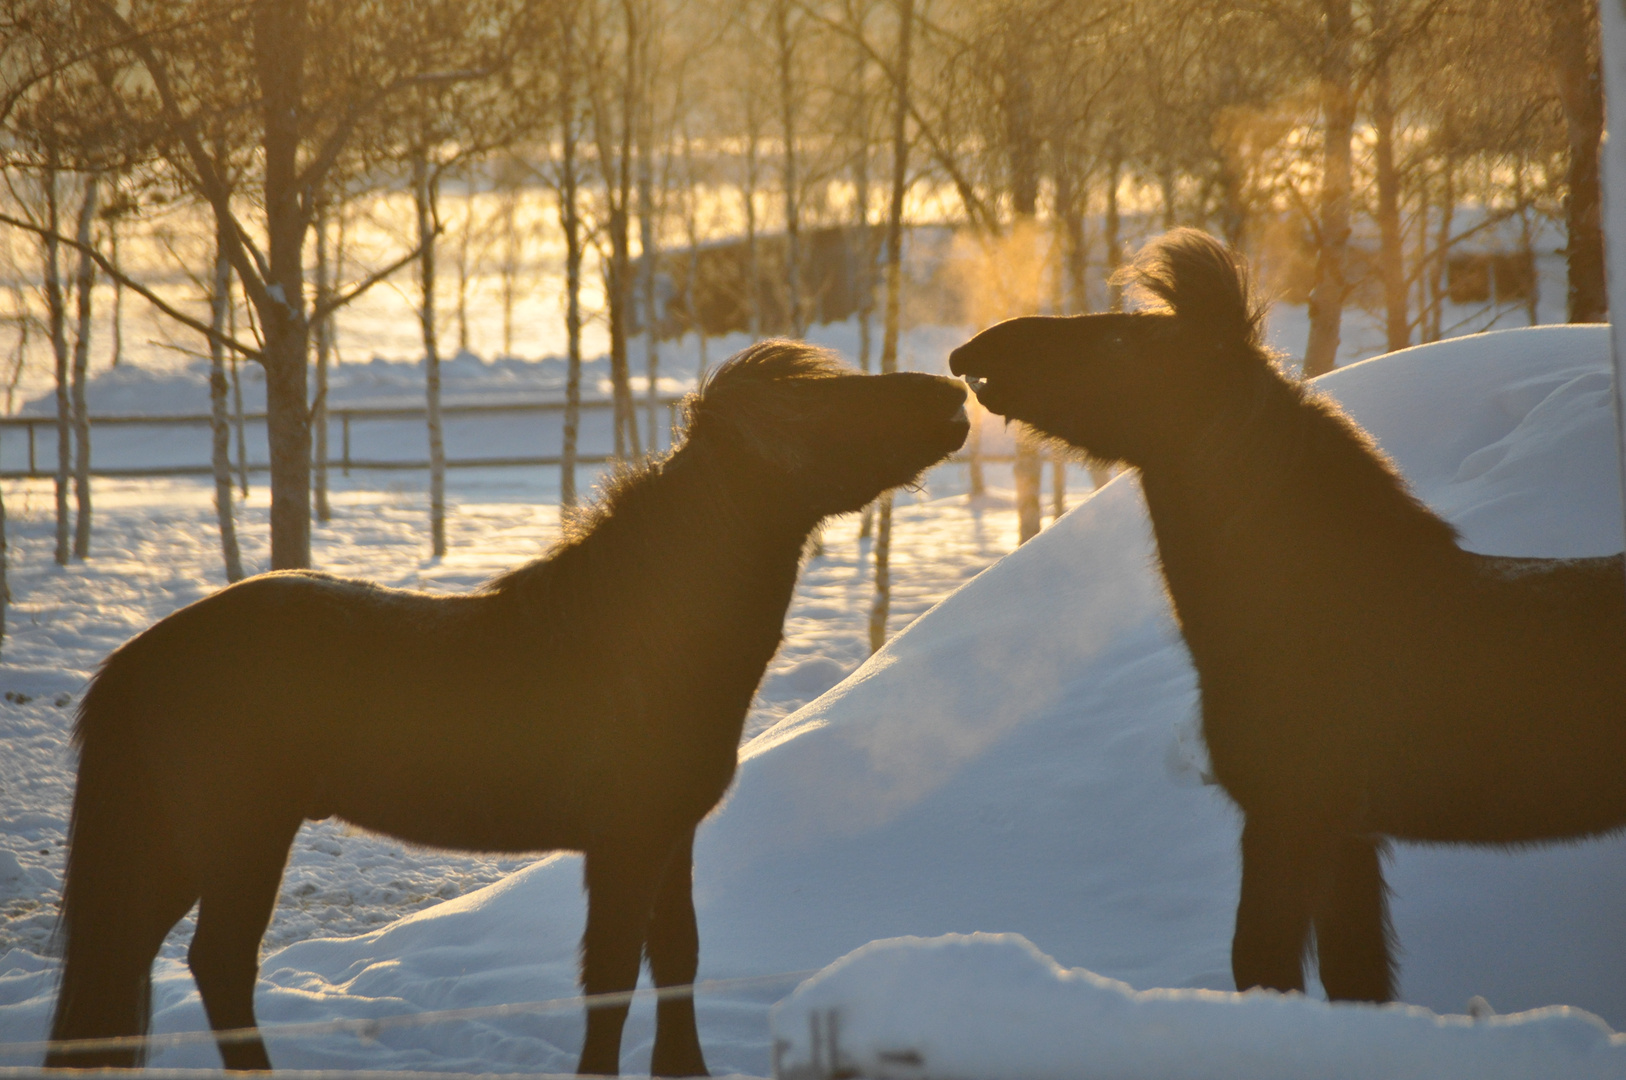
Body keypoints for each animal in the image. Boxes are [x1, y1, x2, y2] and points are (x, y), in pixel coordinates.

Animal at [47, 341, 962, 1073]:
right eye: (818, 405)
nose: (953, 394)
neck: (640, 641)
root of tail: (141, 655)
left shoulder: (671, 838)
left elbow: (677, 960)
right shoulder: (625, 844)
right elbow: (610, 980)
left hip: (177, 845)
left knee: (137, 959)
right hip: (238, 837)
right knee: (218, 965)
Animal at [949, 227, 1626, 1001]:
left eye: (1123, 340)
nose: (974, 354)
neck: (1303, 612)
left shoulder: (1288, 819)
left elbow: (1264, 964)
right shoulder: (1348, 838)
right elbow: (1355, 978)